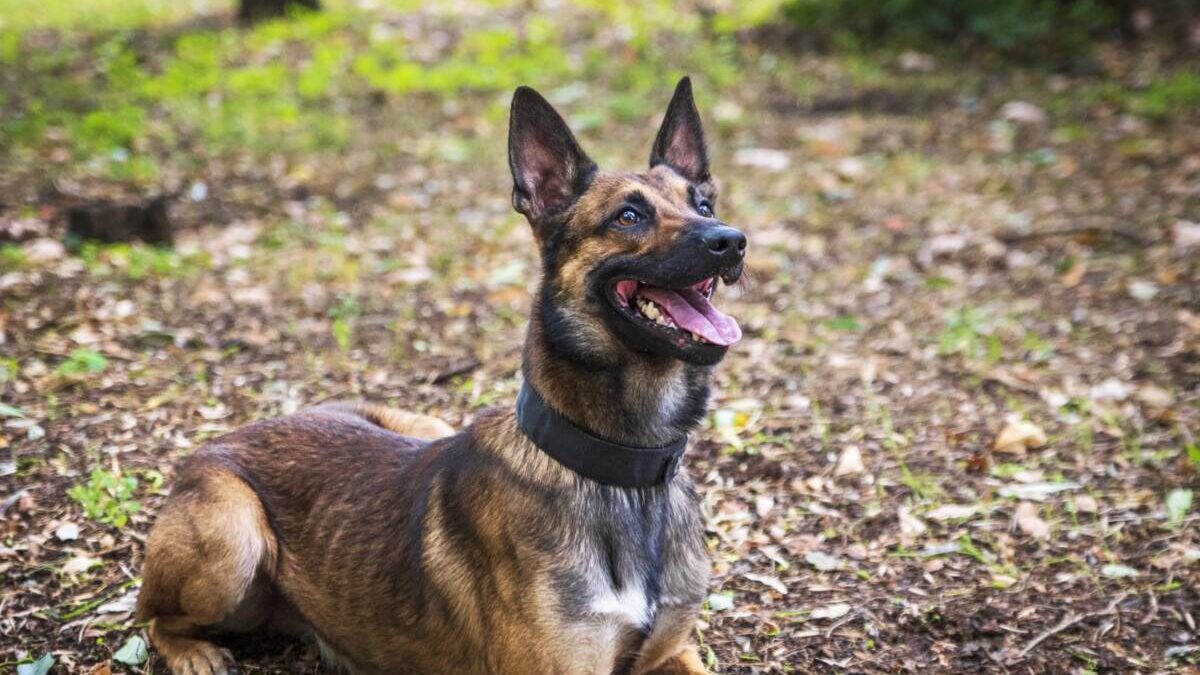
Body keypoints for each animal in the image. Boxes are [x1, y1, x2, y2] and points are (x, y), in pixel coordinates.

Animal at [136, 77, 744, 672]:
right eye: (628, 216)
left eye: (704, 202)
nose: (730, 241)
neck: (626, 475)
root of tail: (222, 440)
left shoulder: (676, 650)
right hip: (233, 538)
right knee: (154, 619)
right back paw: (195, 653)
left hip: (422, 424)